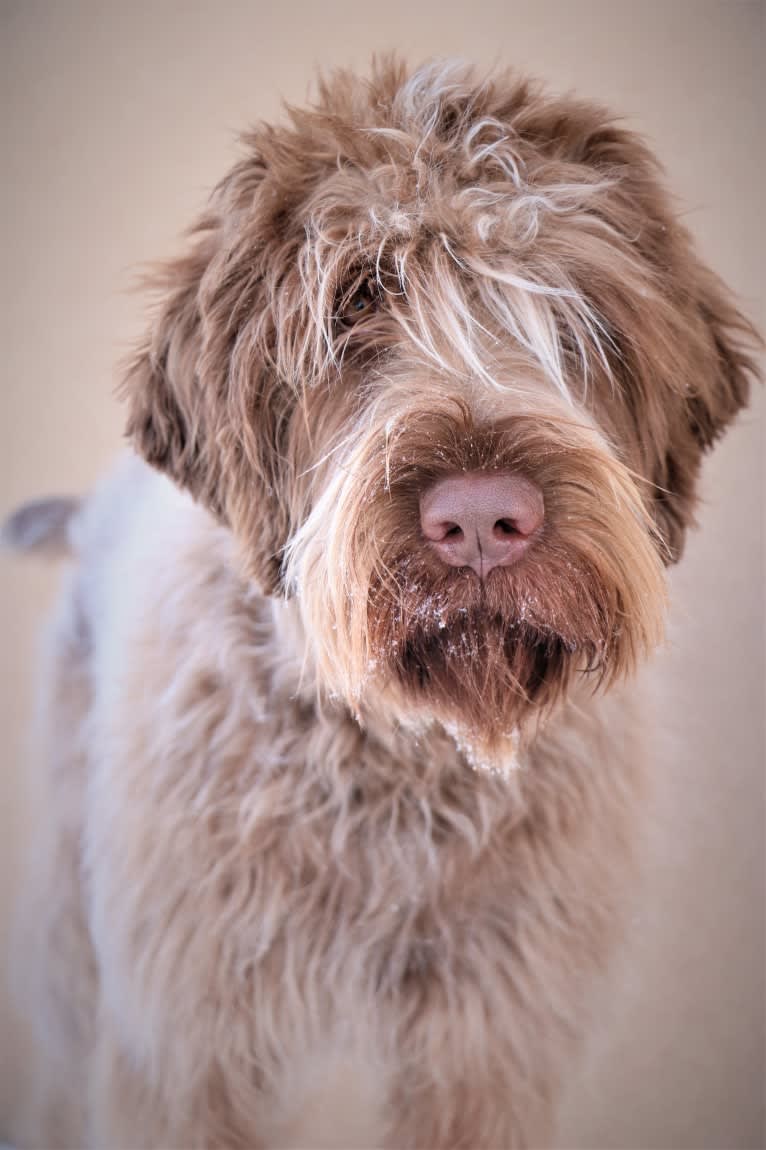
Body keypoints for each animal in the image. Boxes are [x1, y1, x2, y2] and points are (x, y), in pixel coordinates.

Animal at [2, 56, 759, 1150]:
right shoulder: (191, 1045)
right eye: (355, 305)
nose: (481, 519)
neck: (400, 764)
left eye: (572, 318)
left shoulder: (487, 1043)